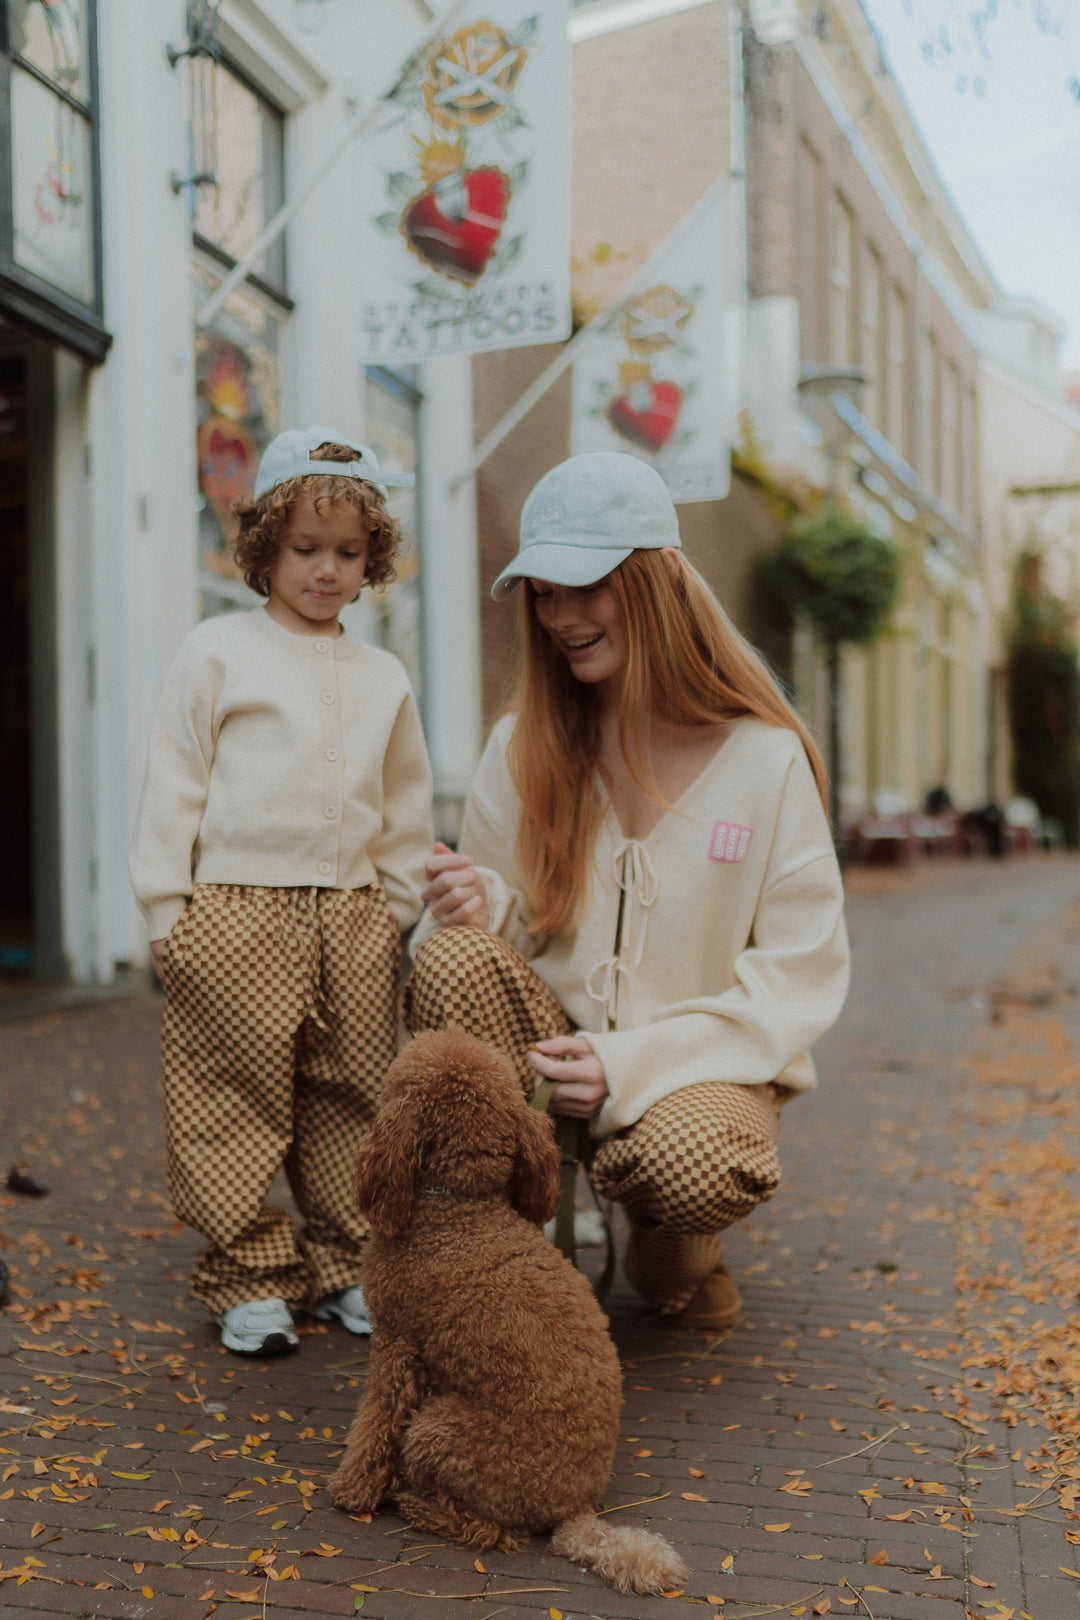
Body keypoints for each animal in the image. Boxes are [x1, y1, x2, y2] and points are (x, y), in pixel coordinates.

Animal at [328, 1028, 687, 1595]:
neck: (461, 1211)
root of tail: (572, 1509)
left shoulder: (396, 1346)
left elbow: (375, 1425)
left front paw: (353, 1489)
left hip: (437, 1429)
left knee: (493, 1531)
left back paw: (418, 1505)